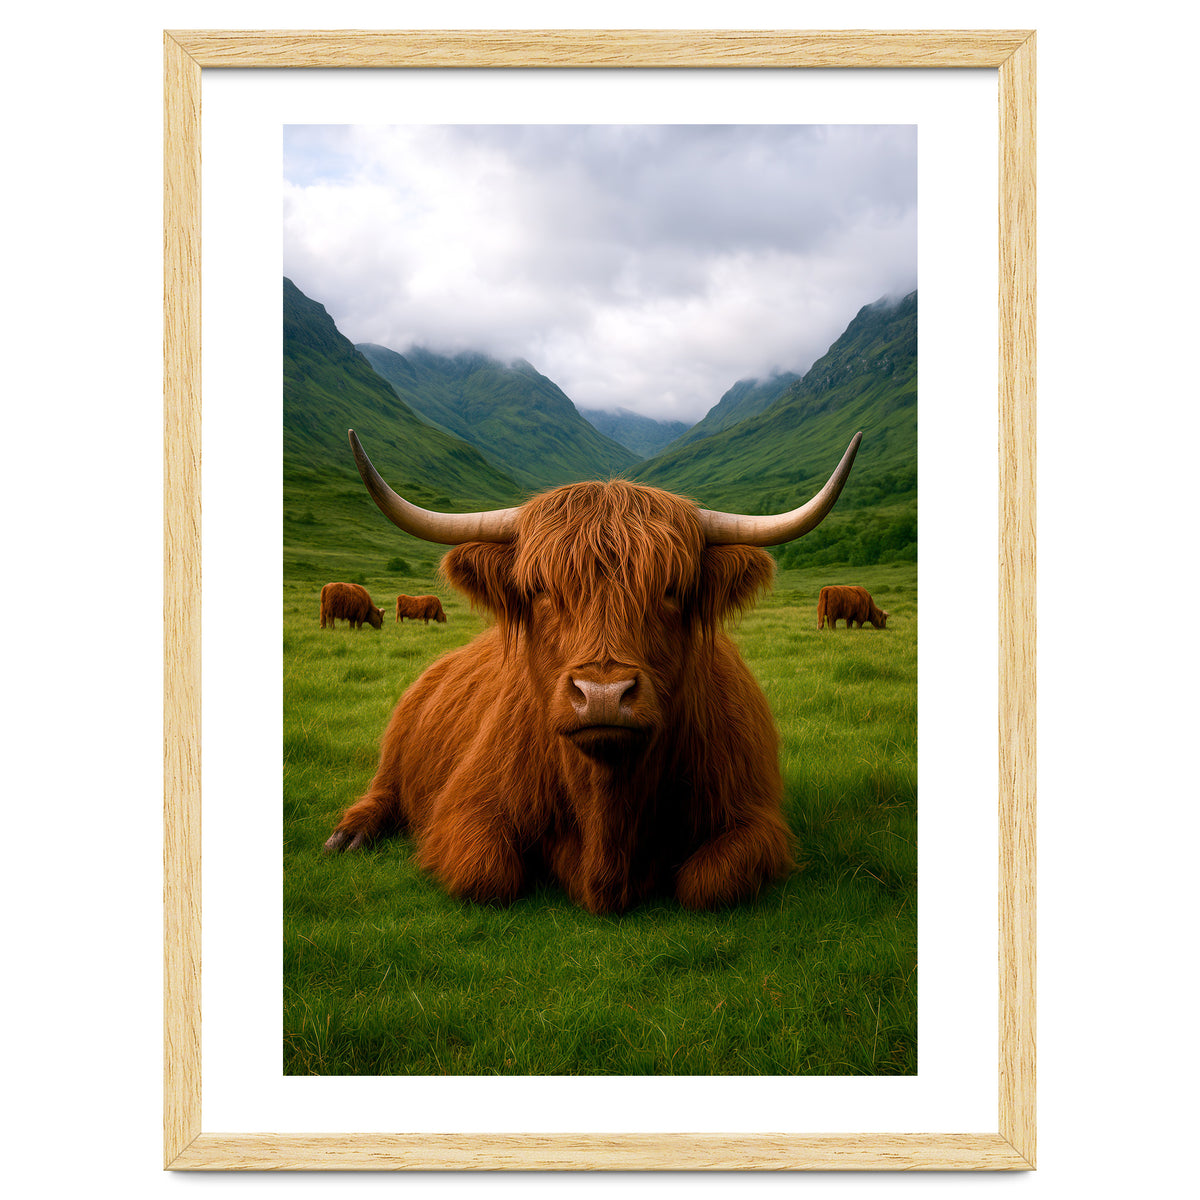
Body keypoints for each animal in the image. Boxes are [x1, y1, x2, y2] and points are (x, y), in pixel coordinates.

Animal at [325, 428, 862, 914]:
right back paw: (348, 835)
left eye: (672, 590)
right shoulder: (465, 807)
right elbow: (487, 874)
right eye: (540, 589)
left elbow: (708, 883)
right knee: (383, 790)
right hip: (397, 748)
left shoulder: (754, 819)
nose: (603, 695)